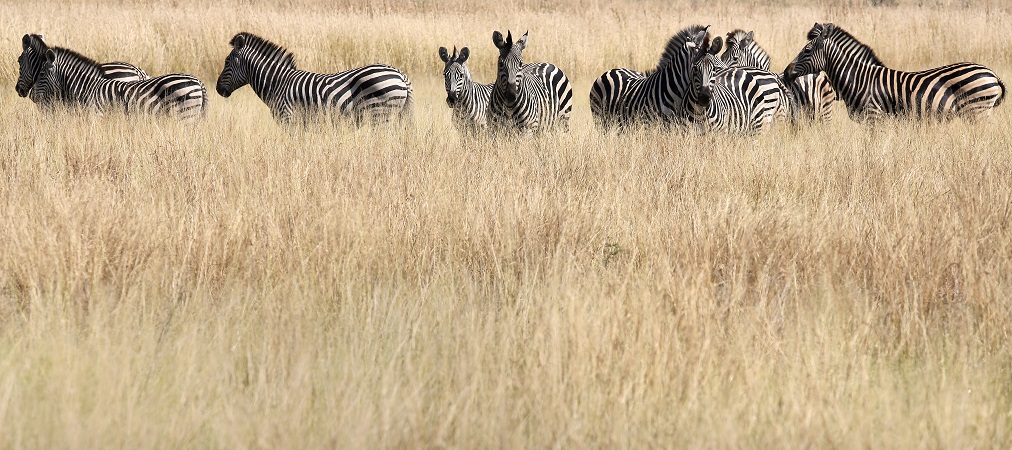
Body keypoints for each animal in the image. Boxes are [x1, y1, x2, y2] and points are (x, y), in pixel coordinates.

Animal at [29, 47, 207, 121]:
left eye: (42, 74)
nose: (32, 96)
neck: (87, 88)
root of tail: (198, 81)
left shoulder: (97, 116)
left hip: (185, 116)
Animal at [215, 32, 413, 125]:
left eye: (227, 62)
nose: (218, 89)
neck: (278, 83)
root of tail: (400, 74)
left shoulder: (289, 118)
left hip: (380, 114)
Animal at [784, 23, 1006, 121]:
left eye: (807, 50)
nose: (785, 73)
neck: (859, 80)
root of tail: (991, 73)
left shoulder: (874, 117)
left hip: (976, 111)